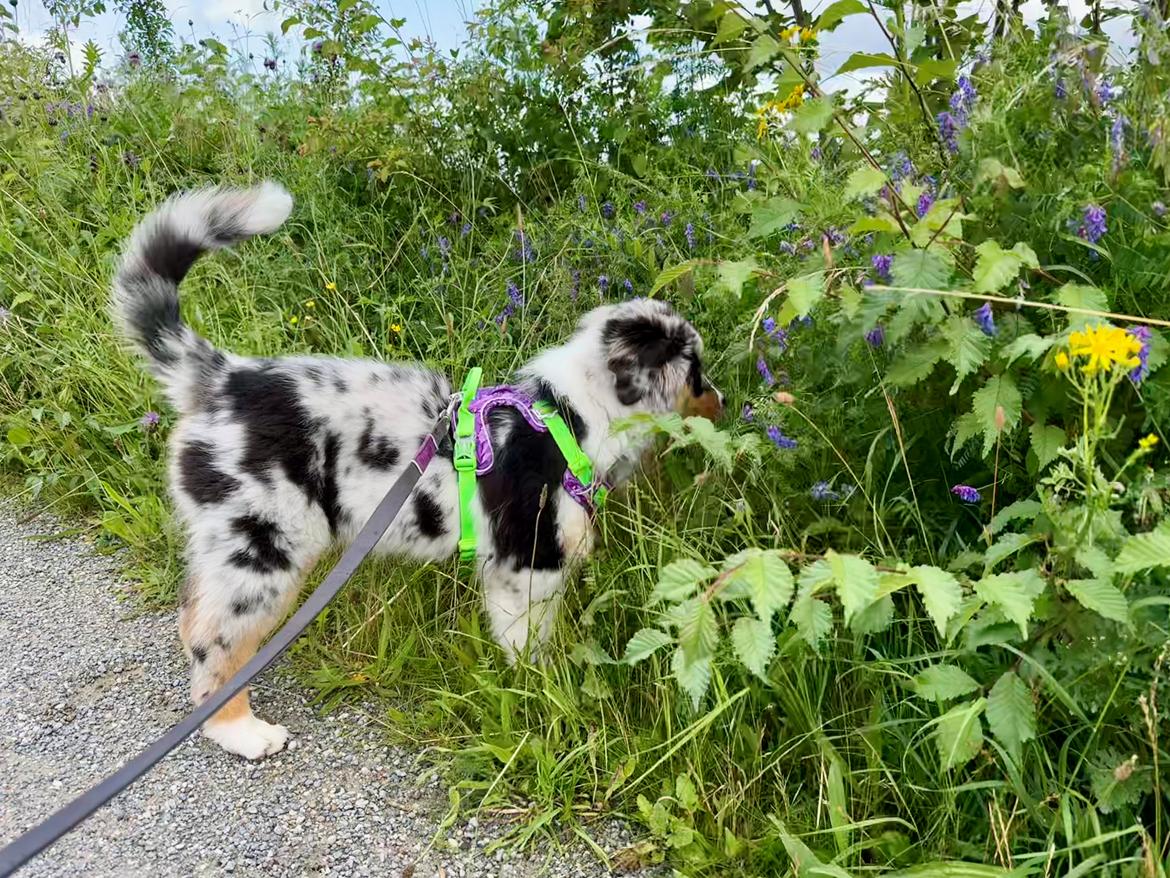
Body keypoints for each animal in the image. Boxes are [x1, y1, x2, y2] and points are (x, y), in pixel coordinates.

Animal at [114, 183, 725, 763]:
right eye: (696, 372)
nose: (723, 403)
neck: (567, 415)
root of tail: (223, 379)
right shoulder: (526, 564)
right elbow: (531, 649)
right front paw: (550, 700)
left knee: (192, 615)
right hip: (263, 549)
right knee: (212, 638)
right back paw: (241, 730)